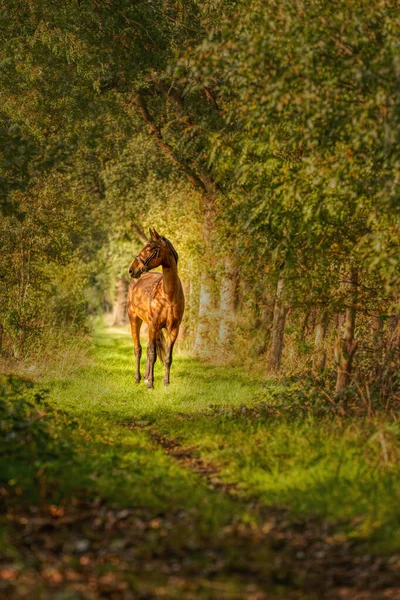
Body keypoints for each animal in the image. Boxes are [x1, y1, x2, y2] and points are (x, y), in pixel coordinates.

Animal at [127, 229, 185, 390]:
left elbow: (167, 357)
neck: (168, 295)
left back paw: (146, 377)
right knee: (138, 349)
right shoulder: (153, 325)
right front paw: (151, 385)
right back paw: (138, 378)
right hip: (135, 320)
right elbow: (152, 355)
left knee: (147, 349)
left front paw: (165, 383)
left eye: (150, 248)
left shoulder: (173, 329)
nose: (131, 270)